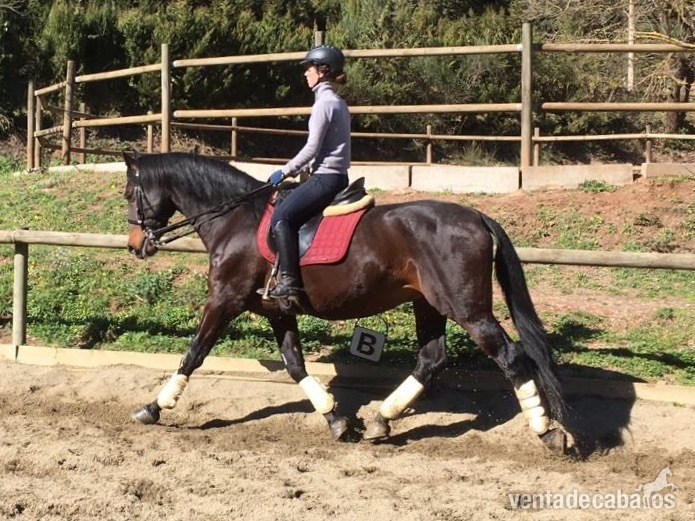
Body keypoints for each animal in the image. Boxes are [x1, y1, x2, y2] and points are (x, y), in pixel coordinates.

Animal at [122, 151, 568, 449]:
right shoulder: (276, 310)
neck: (235, 221)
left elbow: (194, 353)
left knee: (510, 357)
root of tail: (476, 216)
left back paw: (546, 431)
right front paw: (336, 419)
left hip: (467, 309)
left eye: (129, 193)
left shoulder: (223, 300)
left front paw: (153, 407)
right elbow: (295, 365)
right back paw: (381, 421)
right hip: (429, 304)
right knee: (432, 359)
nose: (134, 245)